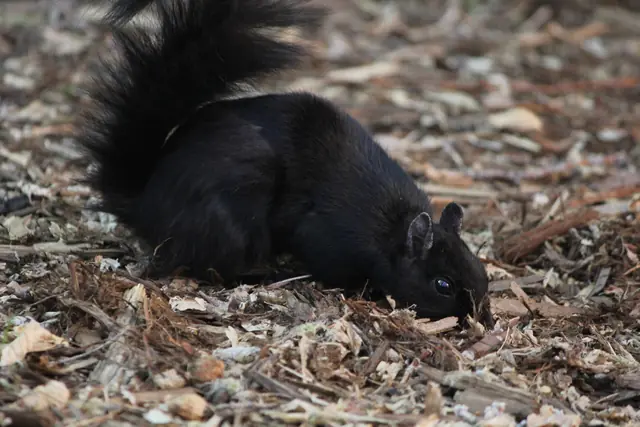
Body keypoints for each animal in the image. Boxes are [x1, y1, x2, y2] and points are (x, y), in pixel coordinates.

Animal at [77, 0, 493, 326]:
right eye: (443, 286)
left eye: (481, 271)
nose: (482, 318)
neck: (392, 228)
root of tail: (144, 204)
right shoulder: (327, 235)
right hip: (232, 212)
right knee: (214, 265)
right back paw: (267, 271)